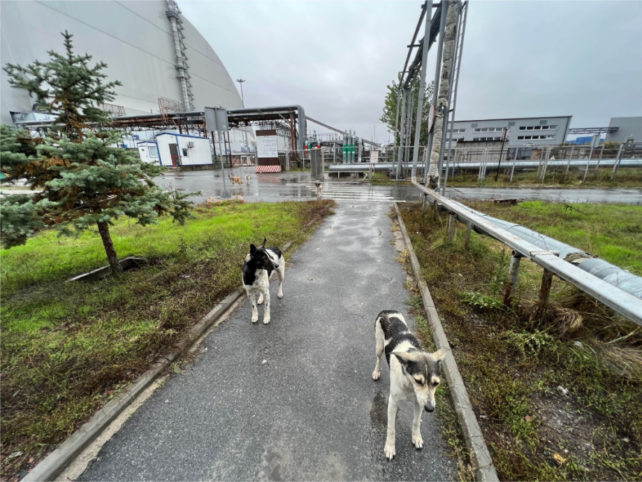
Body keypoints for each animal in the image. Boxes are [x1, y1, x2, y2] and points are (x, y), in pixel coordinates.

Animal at [370, 310, 444, 462]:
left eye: (436, 383)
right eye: (418, 380)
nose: (430, 409)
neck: (410, 385)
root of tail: (387, 311)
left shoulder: (419, 402)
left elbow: (416, 422)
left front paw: (416, 437)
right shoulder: (393, 401)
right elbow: (391, 428)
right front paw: (390, 447)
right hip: (379, 346)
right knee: (378, 358)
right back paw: (376, 371)